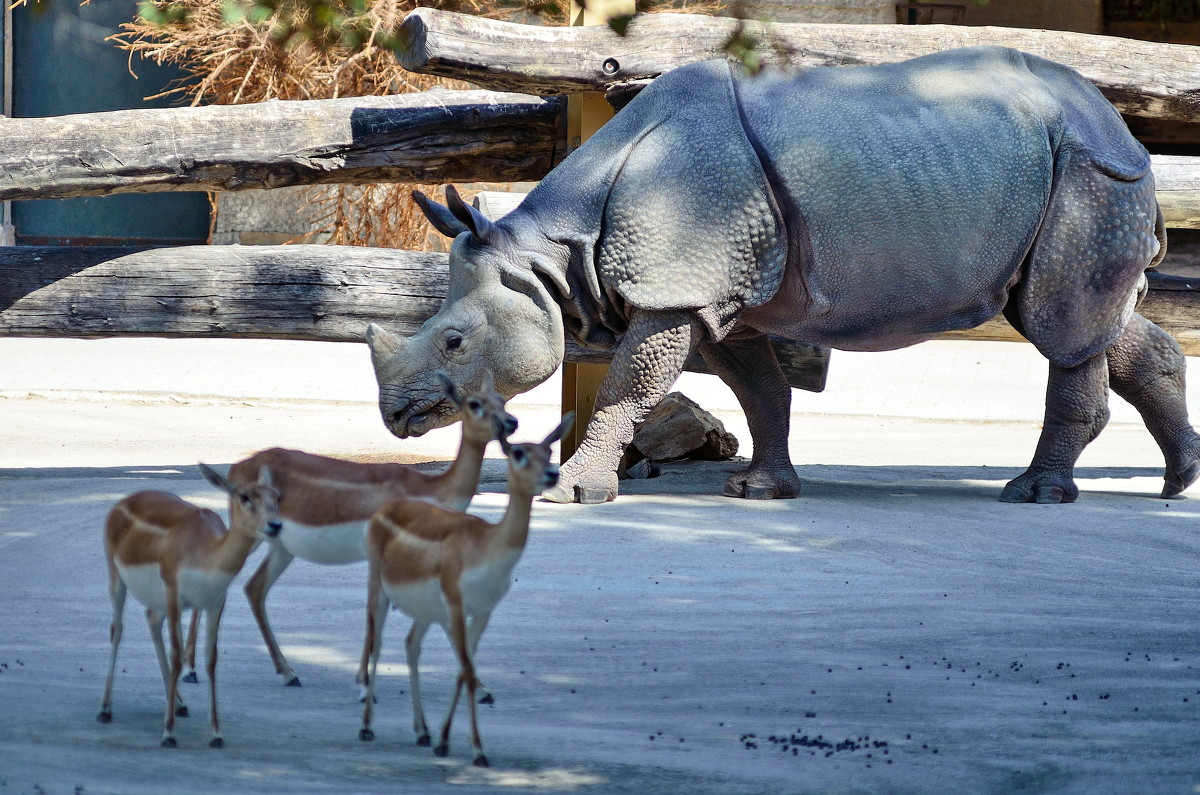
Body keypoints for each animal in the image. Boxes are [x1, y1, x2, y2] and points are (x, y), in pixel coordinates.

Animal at [96, 463, 280, 749]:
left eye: (277, 497)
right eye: (245, 496)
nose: (275, 524)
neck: (205, 556)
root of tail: (121, 502)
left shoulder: (216, 601)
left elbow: (210, 658)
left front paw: (216, 734)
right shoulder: (174, 594)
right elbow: (177, 655)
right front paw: (168, 734)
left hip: (158, 600)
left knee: (151, 619)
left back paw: (180, 705)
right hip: (115, 576)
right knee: (117, 629)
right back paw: (105, 709)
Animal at [182, 372, 516, 696]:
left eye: (502, 400)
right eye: (474, 404)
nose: (511, 422)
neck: (428, 489)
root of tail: (236, 468)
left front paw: (482, 688)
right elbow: (378, 608)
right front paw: (364, 680)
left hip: (281, 547)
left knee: (254, 588)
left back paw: (288, 673)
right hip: (253, 535)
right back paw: (191, 672)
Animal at [355, 413, 571, 768]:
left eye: (549, 451)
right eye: (518, 453)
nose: (552, 474)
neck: (487, 548)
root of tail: (384, 510)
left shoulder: (483, 611)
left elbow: (463, 669)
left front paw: (444, 741)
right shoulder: (456, 604)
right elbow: (467, 670)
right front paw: (478, 751)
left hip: (427, 611)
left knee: (410, 644)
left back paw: (422, 732)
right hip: (379, 587)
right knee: (377, 642)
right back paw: (366, 727)